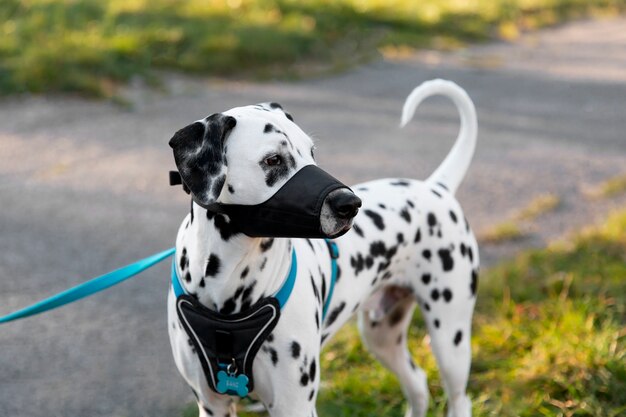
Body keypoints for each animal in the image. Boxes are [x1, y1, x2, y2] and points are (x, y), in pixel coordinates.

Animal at [166, 79, 478, 416]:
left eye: (311, 152)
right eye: (273, 160)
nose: (350, 204)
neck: (228, 293)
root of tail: (435, 187)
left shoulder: (294, 405)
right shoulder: (211, 404)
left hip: (450, 340)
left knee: (458, 398)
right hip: (381, 335)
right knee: (418, 385)